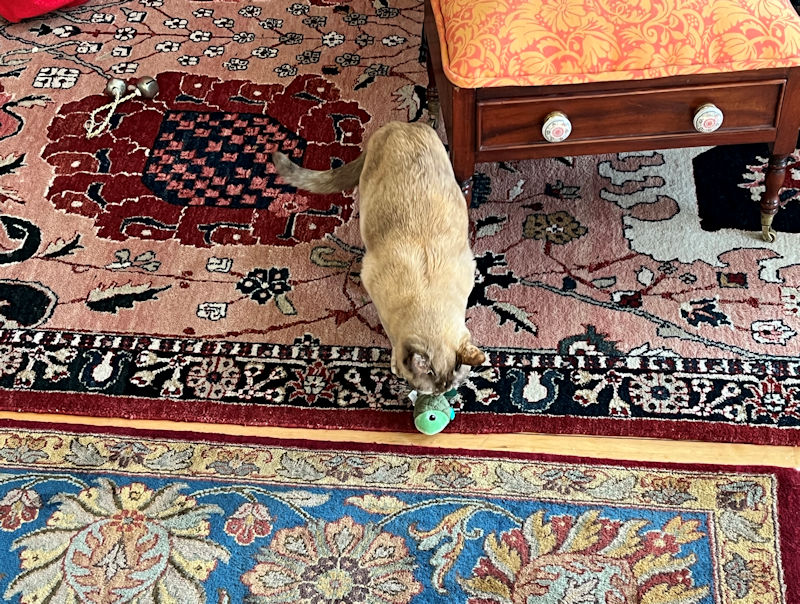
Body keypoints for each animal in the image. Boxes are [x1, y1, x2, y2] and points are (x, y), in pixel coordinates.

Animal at [272, 121, 485, 394]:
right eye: (432, 387)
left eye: (449, 386)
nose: (441, 393)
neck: (428, 296)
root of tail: (402, 124)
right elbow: (391, 339)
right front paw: (395, 363)